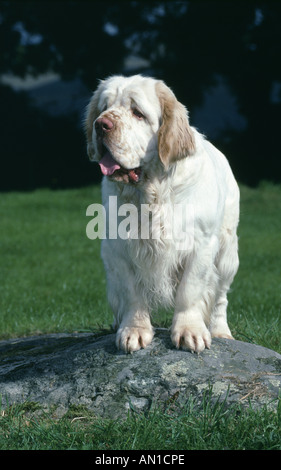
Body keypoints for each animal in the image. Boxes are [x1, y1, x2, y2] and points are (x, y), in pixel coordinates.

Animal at [83, 74, 238, 352]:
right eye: (103, 108)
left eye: (137, 113)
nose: (101, 125)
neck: (150, 194)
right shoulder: (116, 249)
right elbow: (130, 292)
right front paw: (133, 330)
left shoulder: (201, 246)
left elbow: (190, 290)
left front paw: (190, 331)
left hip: (227, 253)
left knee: (220, 297)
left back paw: (221, 331)